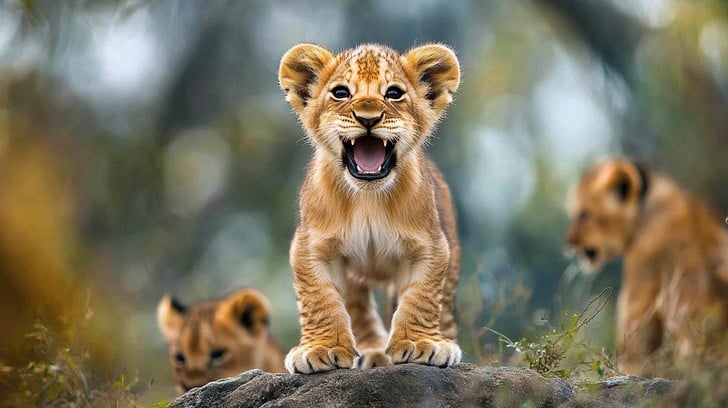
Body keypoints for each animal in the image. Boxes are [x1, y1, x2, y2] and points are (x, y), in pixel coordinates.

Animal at [277, 43, 462, 373]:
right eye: (341, 92)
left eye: (394, 93)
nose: (368, 118)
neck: (368, 199)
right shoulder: (312, 247)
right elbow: (319, 299)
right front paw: (322, 349)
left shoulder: (430, 246)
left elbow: (422, 298)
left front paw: (420, 344)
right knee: (358, 309)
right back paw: (372, 355)